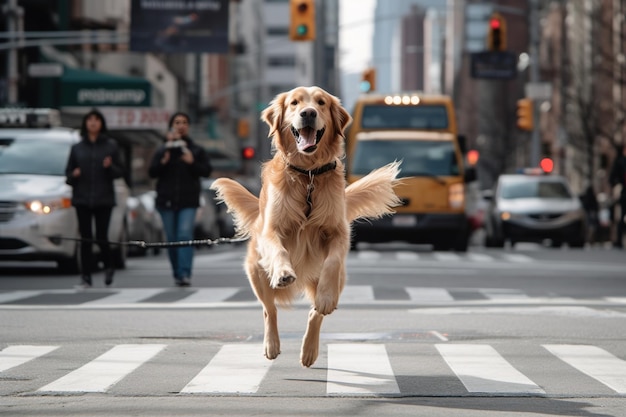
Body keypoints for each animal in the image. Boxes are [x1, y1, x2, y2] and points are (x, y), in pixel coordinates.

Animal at [210, 86, 398, 366]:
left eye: (321, 103)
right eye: (294, 103)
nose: (307, 113)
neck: (308, 174)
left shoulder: (338, 232)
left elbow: (331, 262)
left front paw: (326, 297)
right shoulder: (272, 229)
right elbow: (279, 250)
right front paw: (284, 272)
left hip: (340, 280)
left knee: (315, 313)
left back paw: (310, 347)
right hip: (255, 272)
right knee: (269, 310)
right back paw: (272, 344)